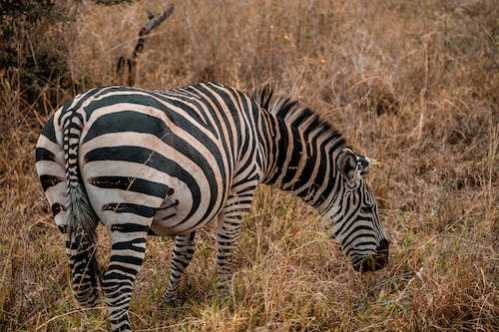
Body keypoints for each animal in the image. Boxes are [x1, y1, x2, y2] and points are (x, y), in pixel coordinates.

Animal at [35, 81, 390, 330]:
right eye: (369, 209)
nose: (383, 260)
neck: (267, 139)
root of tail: (76, 114)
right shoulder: (241, 186)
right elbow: (225, 248)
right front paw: (226, 301)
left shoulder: (193, 200)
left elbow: (182, 254)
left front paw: (169, 302)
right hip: (131, 206)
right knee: (117, 282)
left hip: (62, 201)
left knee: (81, 278)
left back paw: (89, 321)